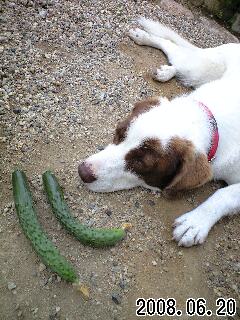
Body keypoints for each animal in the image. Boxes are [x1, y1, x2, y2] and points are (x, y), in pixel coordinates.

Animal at [78, 17, 240, 248]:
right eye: (118, 133)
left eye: (140, 163)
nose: (83, 172)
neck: (213, 119)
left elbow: (224, 194)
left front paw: (196, 222)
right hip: (199, 68)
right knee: (174, 49)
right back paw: (147, 40)